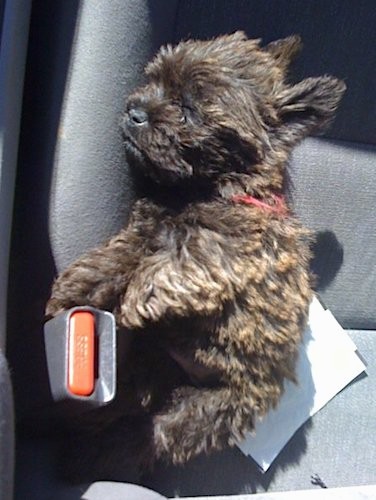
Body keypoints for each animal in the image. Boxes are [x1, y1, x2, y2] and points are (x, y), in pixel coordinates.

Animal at [47, 33, 346, 478]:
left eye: (188, 110)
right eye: (154, 81)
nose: (135, 111)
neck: (202, 189)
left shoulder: (238, 245)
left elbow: (185, 257)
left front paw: (138, 297)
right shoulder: (147, 228)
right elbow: (122, 253)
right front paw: (79, 285)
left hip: (208, 409)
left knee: (155, 434)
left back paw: (93, 455)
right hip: (154, 364)